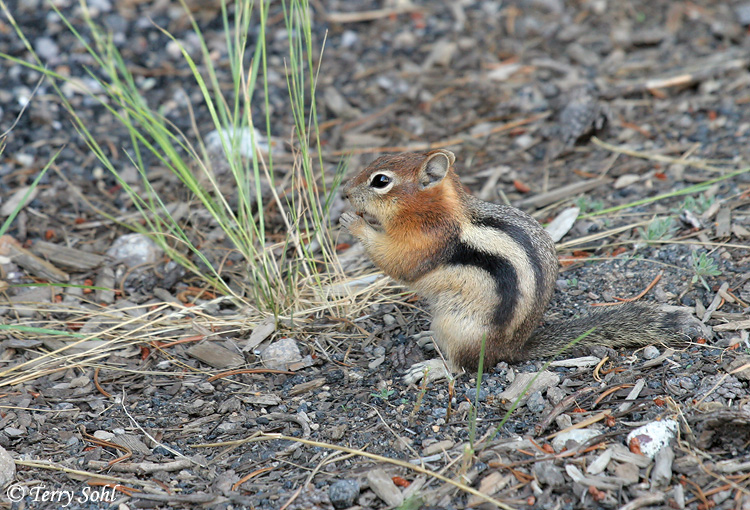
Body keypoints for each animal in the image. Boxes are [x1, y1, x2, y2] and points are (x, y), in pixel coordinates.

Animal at [340, 149, 708, 380]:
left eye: (380, 180)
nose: (344, 191)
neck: (435, 210)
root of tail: (512, 348)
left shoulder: (426, 242)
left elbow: (399, 262)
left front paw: (354, 223)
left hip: (456, 328)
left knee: (464, 368)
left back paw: (432, 368)